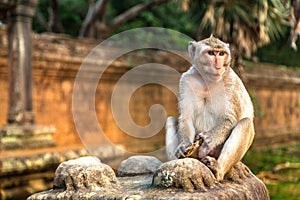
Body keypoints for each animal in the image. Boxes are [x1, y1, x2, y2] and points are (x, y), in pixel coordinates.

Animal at [165, 34, 254, 181]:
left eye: (221, 53)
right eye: (211, 53)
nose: (218, 65)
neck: (208, 80)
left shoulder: (231, 81)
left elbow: (230, 119)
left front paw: (210, 138)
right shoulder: (186, 80)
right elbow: (185, 118)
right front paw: (184, 146)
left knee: (245, 123)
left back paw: (218, 169)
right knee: (171, 120)